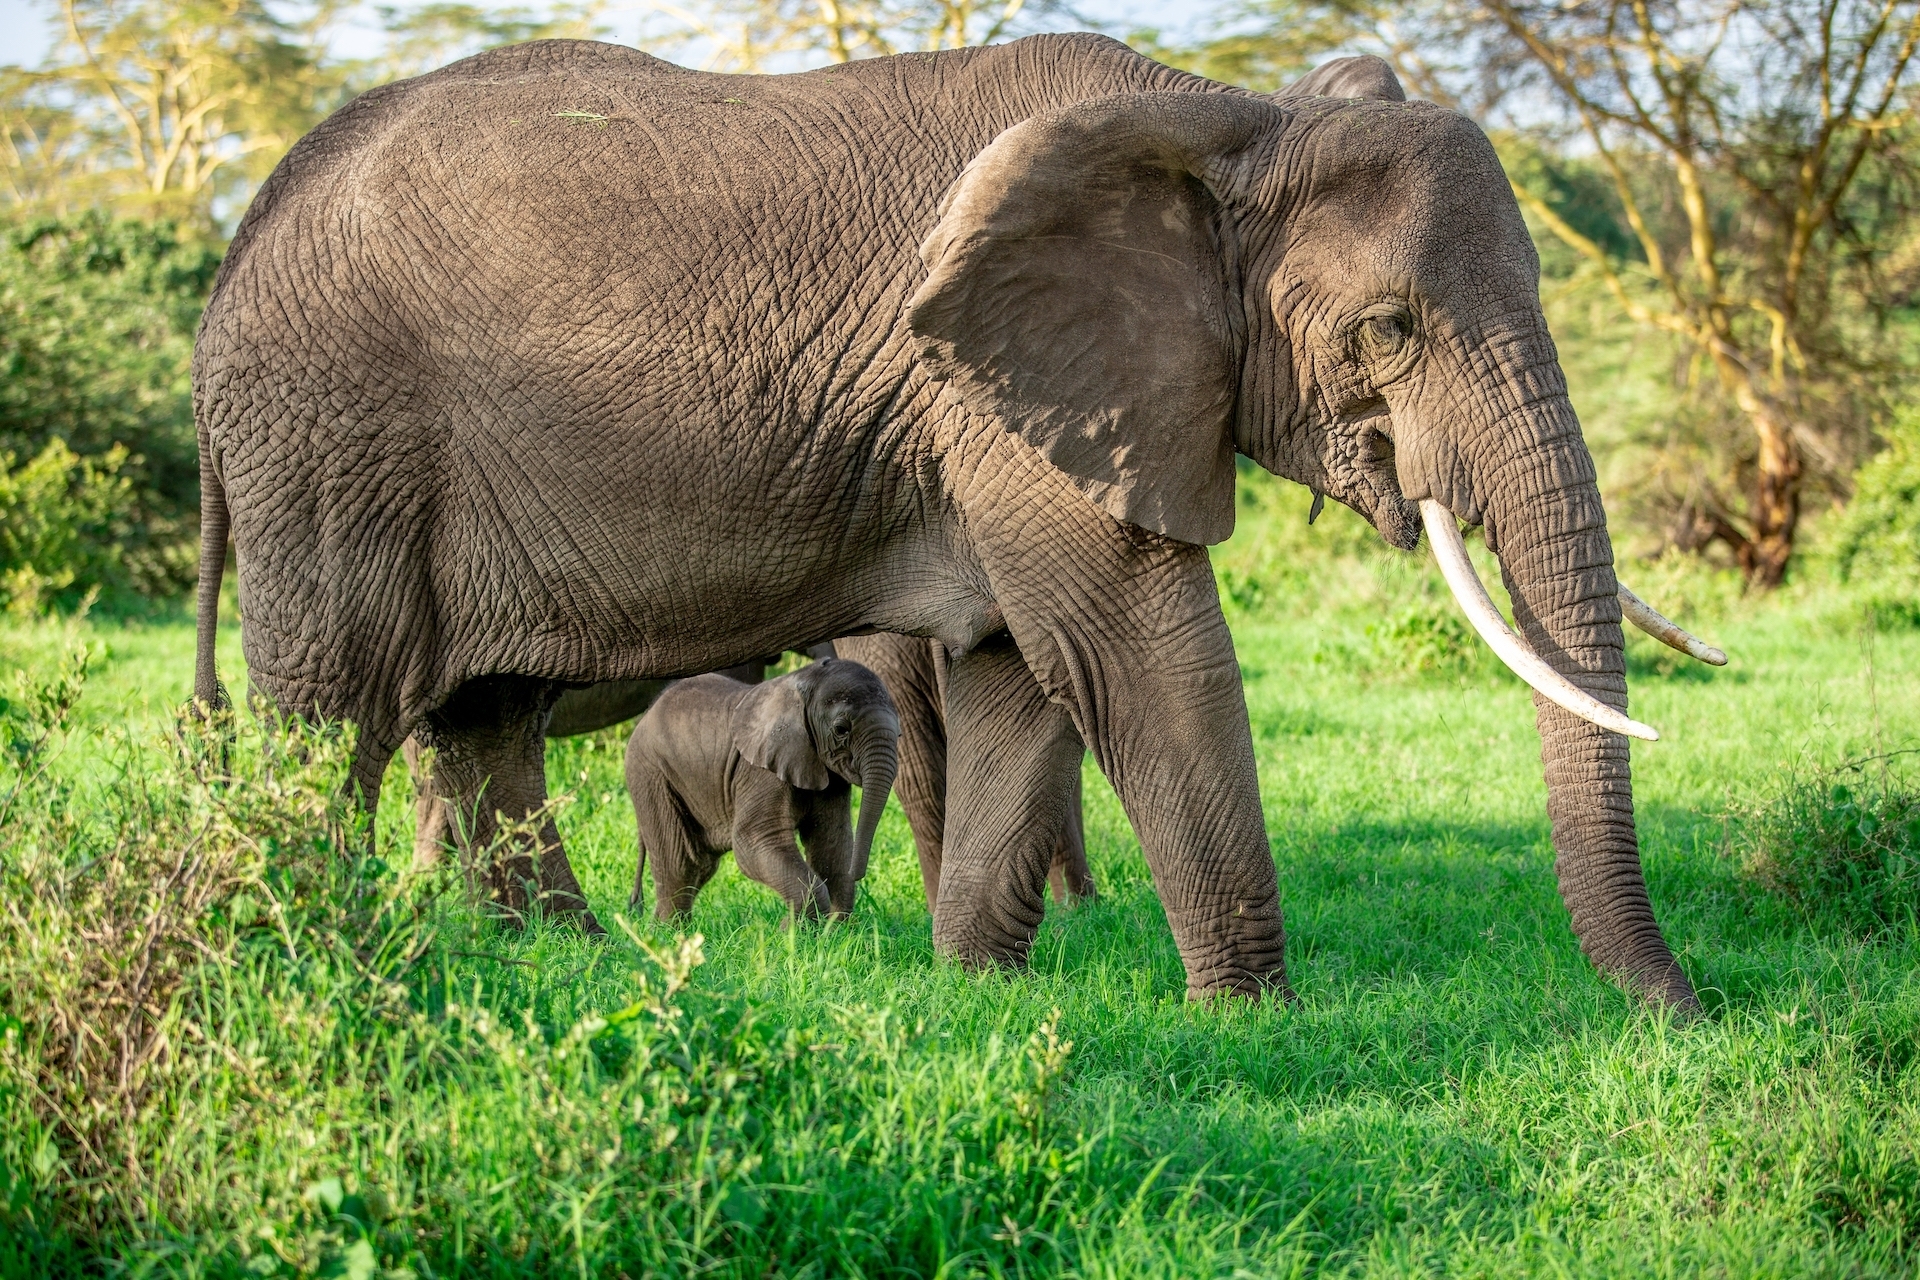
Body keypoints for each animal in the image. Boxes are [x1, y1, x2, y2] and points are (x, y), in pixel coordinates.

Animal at [626, 659, 899, 918]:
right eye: (841, 729)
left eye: (900, 734)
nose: (859, 874)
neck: (804, 680)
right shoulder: (759, 770)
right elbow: (754, 842)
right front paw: (794, 931)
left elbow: (830, 843)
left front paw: (833, 930)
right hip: (650, 774)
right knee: (680, 864)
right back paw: (669, 933)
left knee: (699, 866)